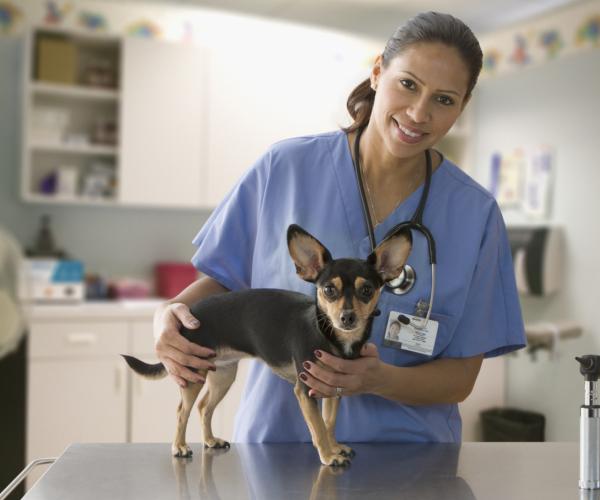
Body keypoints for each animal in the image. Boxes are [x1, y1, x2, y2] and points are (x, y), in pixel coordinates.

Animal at [122, 225, 412, 466]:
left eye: (367, 291)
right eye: (329, 290)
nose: (347, 317)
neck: (329, 335)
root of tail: (191, 312)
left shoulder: (333, 389)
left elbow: (329, 423)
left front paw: (335, 446)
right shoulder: (304, 390)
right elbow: (318, 426)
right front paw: (329, 455)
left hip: (223, 375)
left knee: (205, 407)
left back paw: (210, 440)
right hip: (193, 373)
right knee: (182, 410)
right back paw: (180, 446)